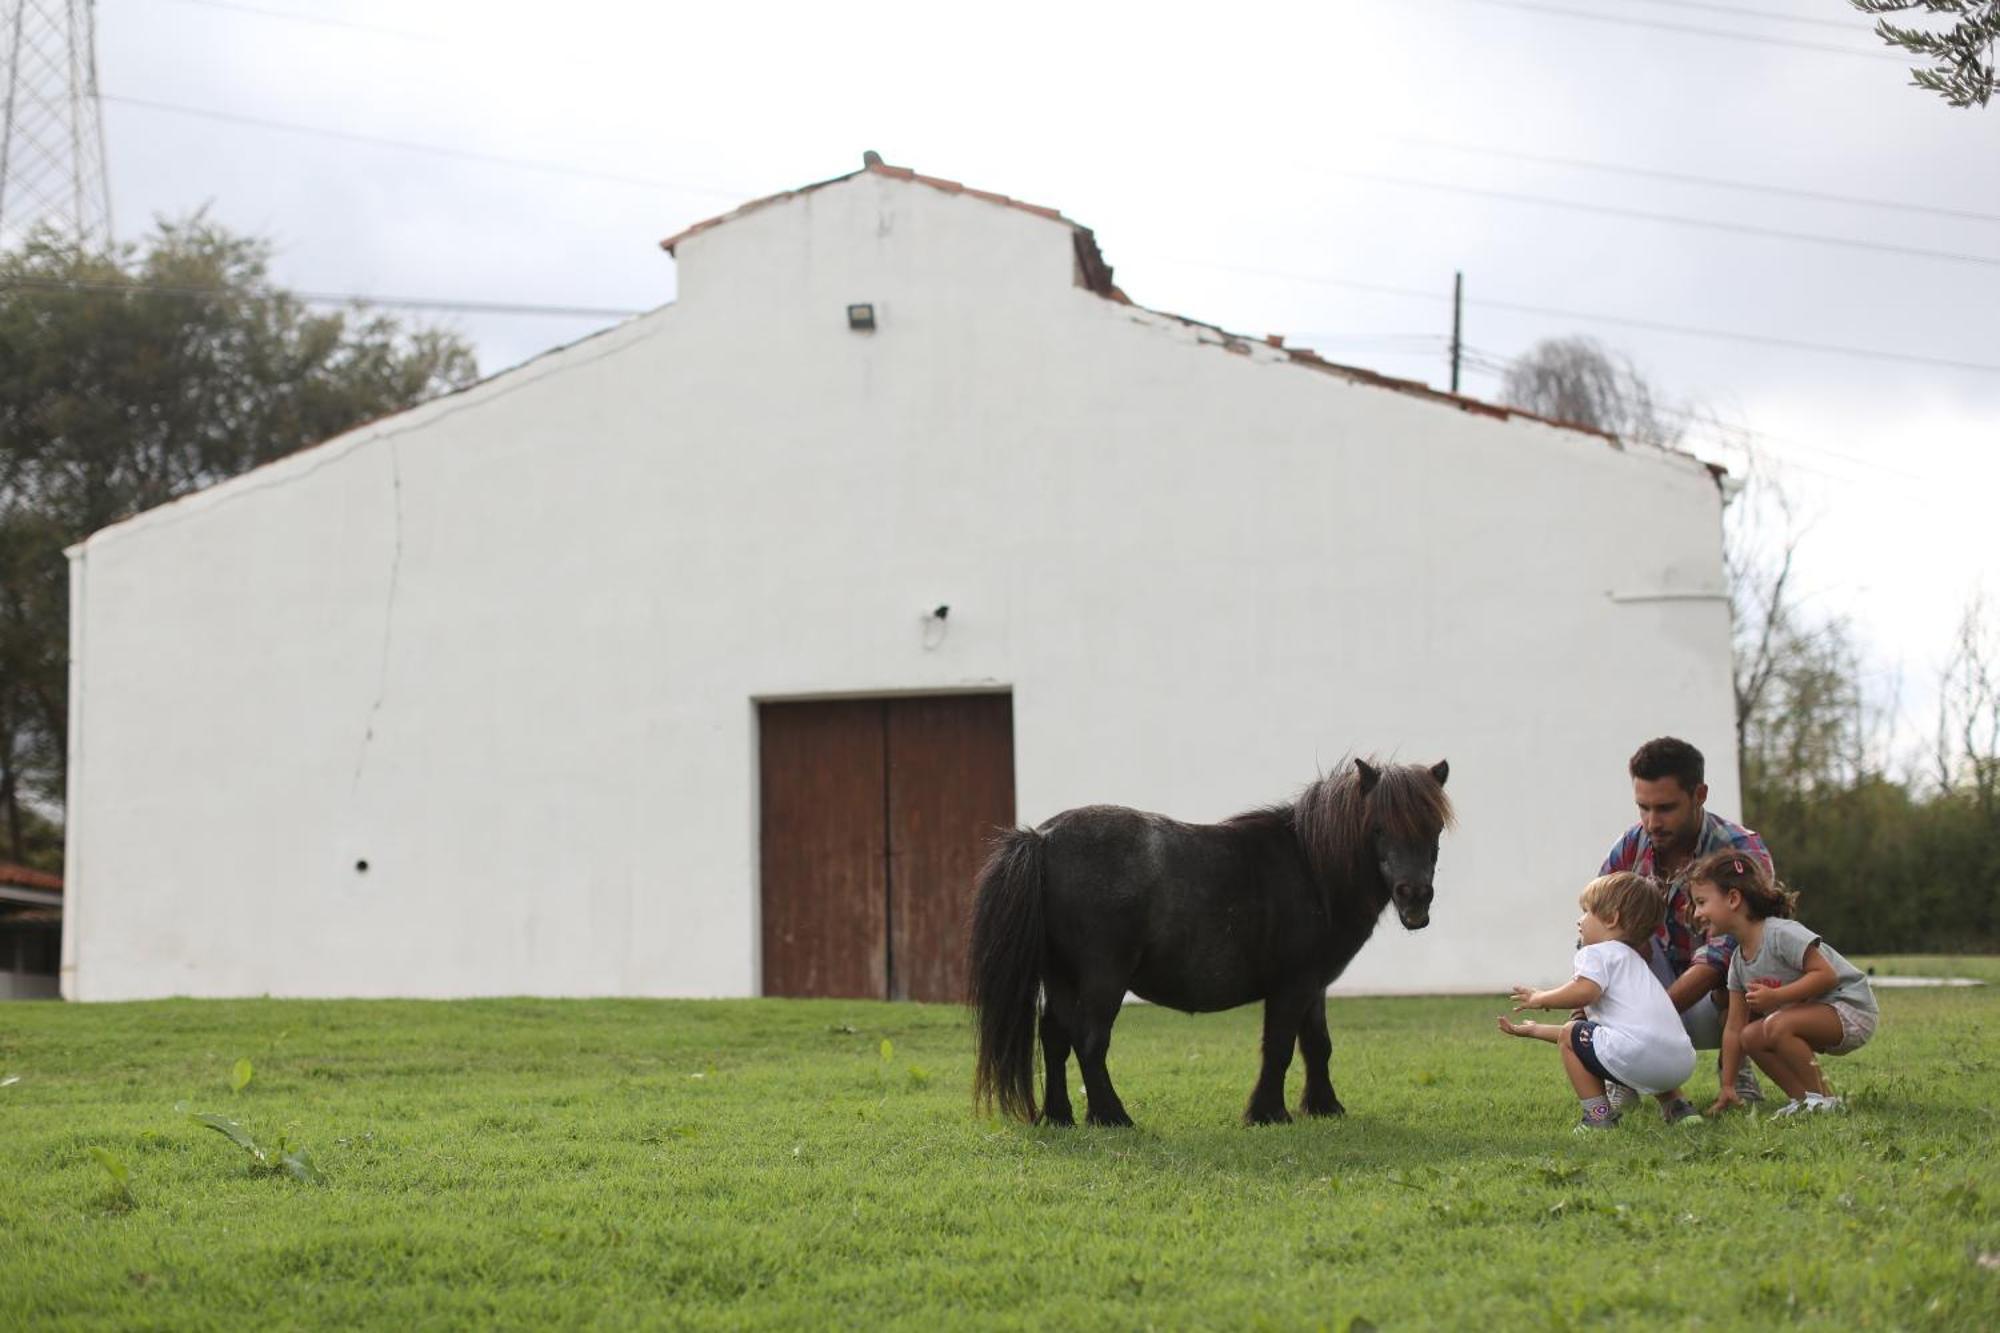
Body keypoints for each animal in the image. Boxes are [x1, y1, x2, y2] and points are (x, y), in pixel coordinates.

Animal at [972, 756, 1456, 1120]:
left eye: (1434, 829)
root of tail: (1044, 839)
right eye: (1378, 827)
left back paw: (1059, 1116)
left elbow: (1317, 1045)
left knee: (1055, 1037)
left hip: (1060, 976)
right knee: (1089, 1040)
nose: (1415, 897)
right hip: (1102, 978)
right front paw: (1267, 1112)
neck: (1310, 867)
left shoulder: (1314, 985)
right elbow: (1279, 1046)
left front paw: (1324, 1107)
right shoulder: (1292, 985)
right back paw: (1112, 1117)